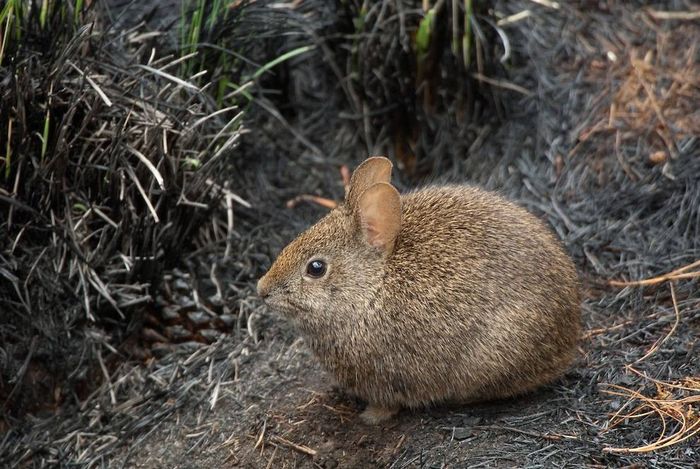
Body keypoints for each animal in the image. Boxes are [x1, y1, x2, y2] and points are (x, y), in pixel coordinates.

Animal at [258, 157, 580, 424]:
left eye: (316, 268)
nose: (262, 290)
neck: (373, 286)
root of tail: (568, 337)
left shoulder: (388, 376)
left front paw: (370, 417)